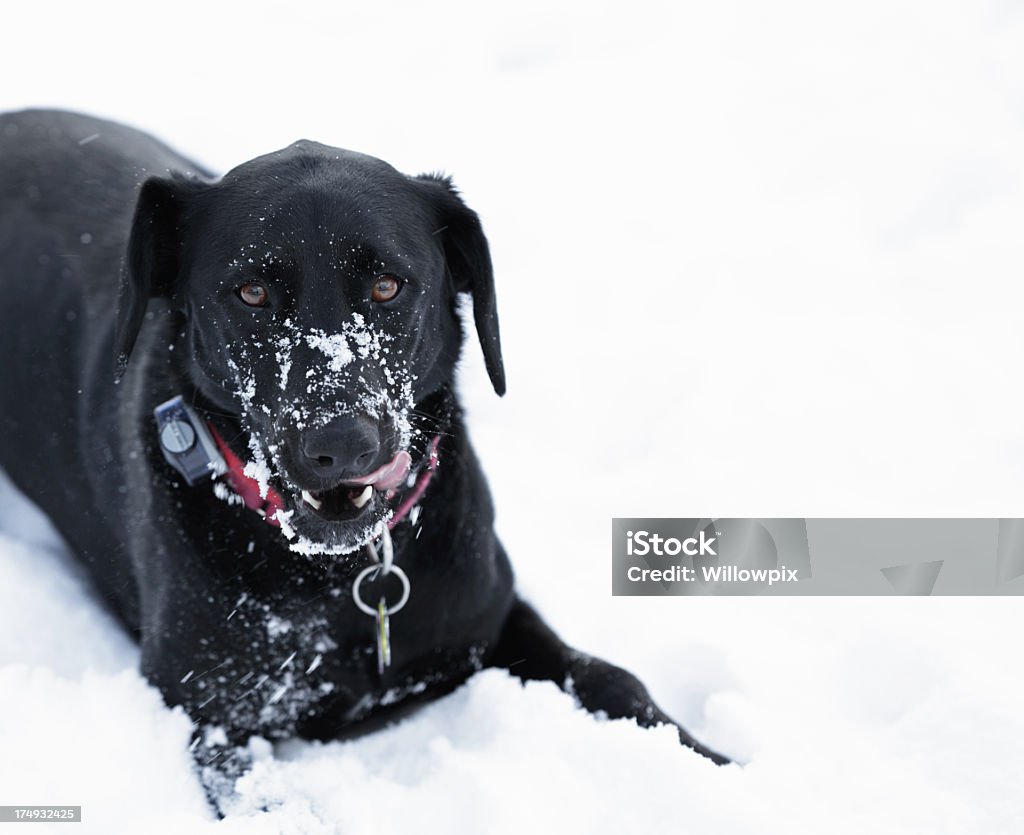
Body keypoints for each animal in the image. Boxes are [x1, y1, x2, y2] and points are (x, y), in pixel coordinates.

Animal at [0, 111, 729, 803]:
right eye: (251, 292)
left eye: (387, 286)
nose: (343, 443)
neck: (343, 575)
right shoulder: (211, 710)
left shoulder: (491, 617)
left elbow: (613, 680)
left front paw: (720, 764)